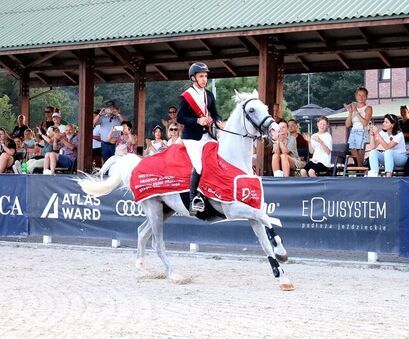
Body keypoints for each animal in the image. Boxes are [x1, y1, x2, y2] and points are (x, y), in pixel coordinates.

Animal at [78, 91, 294, 292]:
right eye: (251, 110)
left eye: (266, 108)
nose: (276, 131)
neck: (230, 162)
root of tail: (136, 164)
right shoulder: (233, 209)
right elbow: (265, 218)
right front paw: (282, 253)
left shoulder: (250, 210)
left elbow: (265, 234)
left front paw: (282, 275)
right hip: (154, 208)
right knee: (157, 243)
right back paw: (174, 275)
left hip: (164, 210)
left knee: (142, 232)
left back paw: (142, 268)